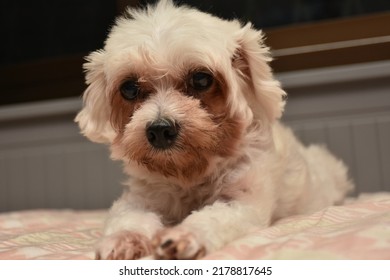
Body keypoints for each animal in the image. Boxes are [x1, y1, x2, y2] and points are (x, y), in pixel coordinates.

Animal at [75, 0, 354, 260]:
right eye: (130, 88)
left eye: (201, 79)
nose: (160, 130)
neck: (191, 173)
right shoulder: (141, 198)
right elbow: (128, 218)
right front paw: (123, 239)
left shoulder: (243, 202)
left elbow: (212, 218)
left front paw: (186, 235)